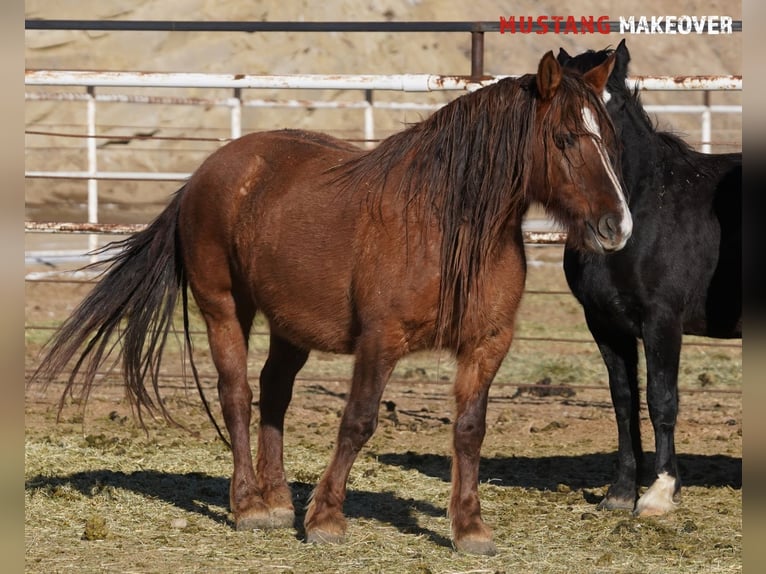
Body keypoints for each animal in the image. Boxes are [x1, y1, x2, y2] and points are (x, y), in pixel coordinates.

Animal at [30, 51, 632, 556]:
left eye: (609, 137)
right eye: (564, 138)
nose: (617, 227)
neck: (448, 227)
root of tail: (207, 172)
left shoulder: (489, 343)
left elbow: (469, 428)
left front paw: (470, 528)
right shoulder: (380, 339)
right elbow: (358, 421)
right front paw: (325, 518)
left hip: (289, 325)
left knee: (273, 393)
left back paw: (277, 500)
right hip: (225, 308)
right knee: (236, 395)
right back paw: (248, 506)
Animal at [560, 40, 740, 516]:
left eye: (614, 105)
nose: (607, 222)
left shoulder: (662, 321)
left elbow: (661, 398)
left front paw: (660, 492)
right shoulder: (605, 325)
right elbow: (624, 400)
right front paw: (621, 491)